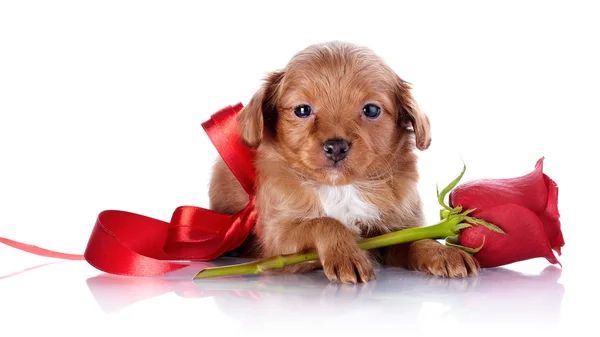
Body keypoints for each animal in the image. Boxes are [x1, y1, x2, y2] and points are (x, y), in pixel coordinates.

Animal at [209, 40, 480, 282]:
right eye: (302, 110)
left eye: (371, 110)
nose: (336, 147)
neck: (342, 188)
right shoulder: (277, 238)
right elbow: (324, 222)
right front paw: (347, 254)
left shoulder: (395, 228)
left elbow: (415, 239)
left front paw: (442, 252)